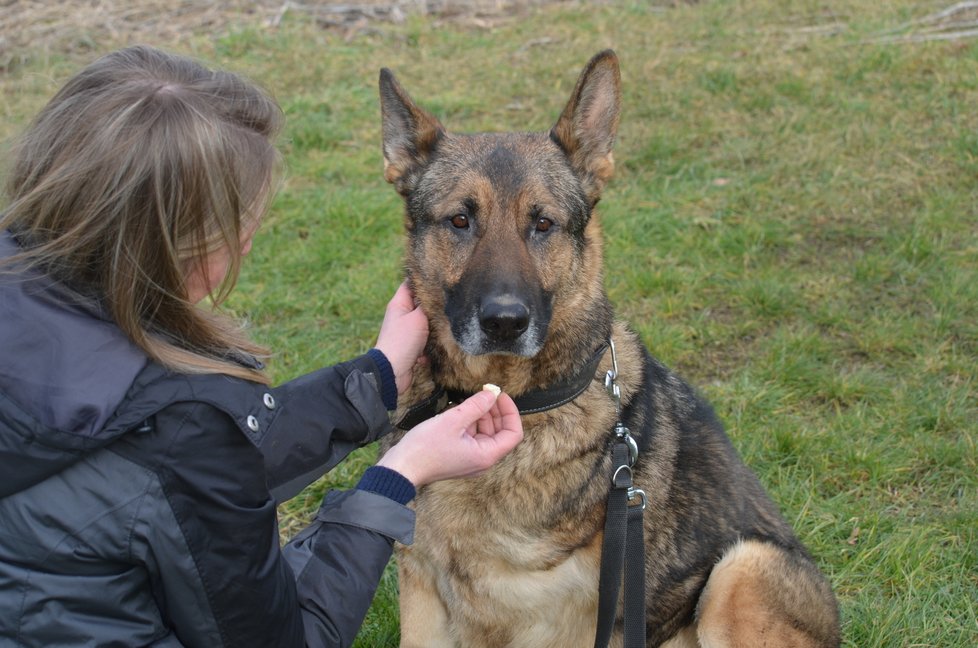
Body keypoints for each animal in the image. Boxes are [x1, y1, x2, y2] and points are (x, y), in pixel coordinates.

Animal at [378, 50, 836, 648]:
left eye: (542, 223)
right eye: (460, 219)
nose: (504, 322)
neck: (518, 399)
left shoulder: (575, 622)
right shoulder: (424, 593)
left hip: (742, 569)